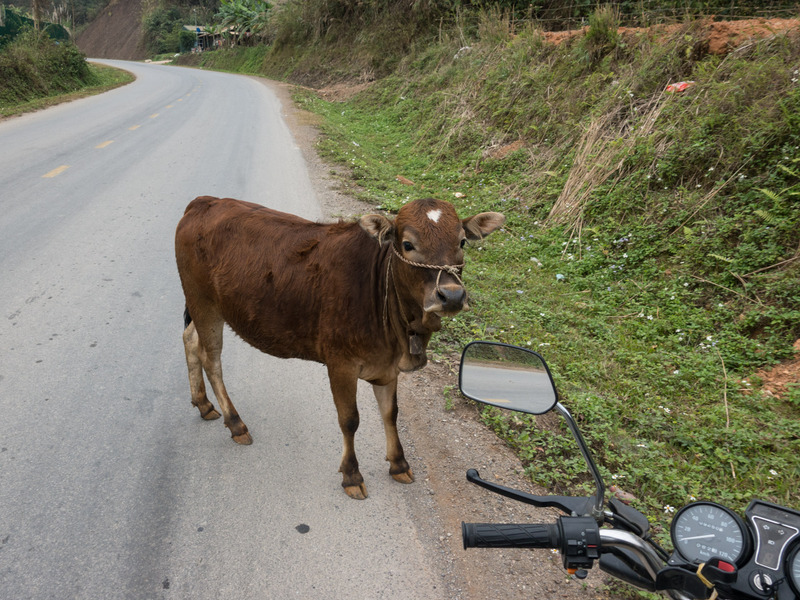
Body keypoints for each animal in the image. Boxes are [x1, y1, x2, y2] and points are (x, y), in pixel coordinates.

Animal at [175, 196, 504, 496]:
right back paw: (236, 423)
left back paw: (204, 404)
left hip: (204, 308)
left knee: (190, 340)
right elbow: (349, 420)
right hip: (204, 303)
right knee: (211, 359)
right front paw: (352, 475)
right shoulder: (340, 364)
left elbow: (390, 413)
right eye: (408, 244)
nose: (451, 296)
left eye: (462, 241)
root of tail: (204, 201)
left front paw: (399, 464)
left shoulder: (388, 366)